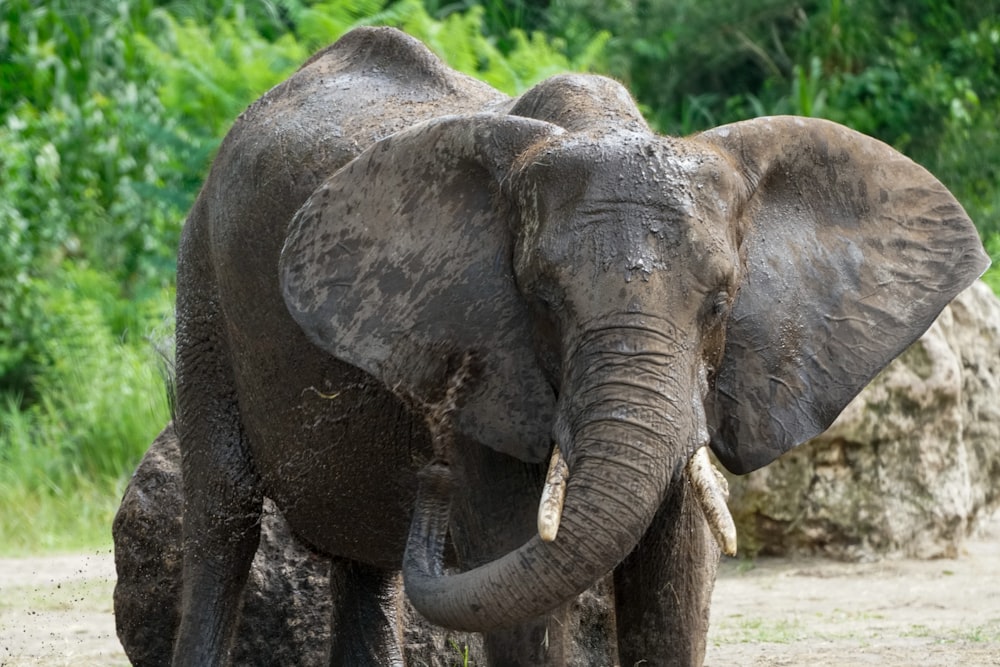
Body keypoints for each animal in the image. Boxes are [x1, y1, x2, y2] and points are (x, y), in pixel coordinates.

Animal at [168, 23, 988, 664]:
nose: (430, 475)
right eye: (542, 300)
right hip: (200, 285)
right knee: (220, 523)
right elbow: (520, 576)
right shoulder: (483, 364)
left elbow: (678, 581)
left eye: (721, 303)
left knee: (367, 570)